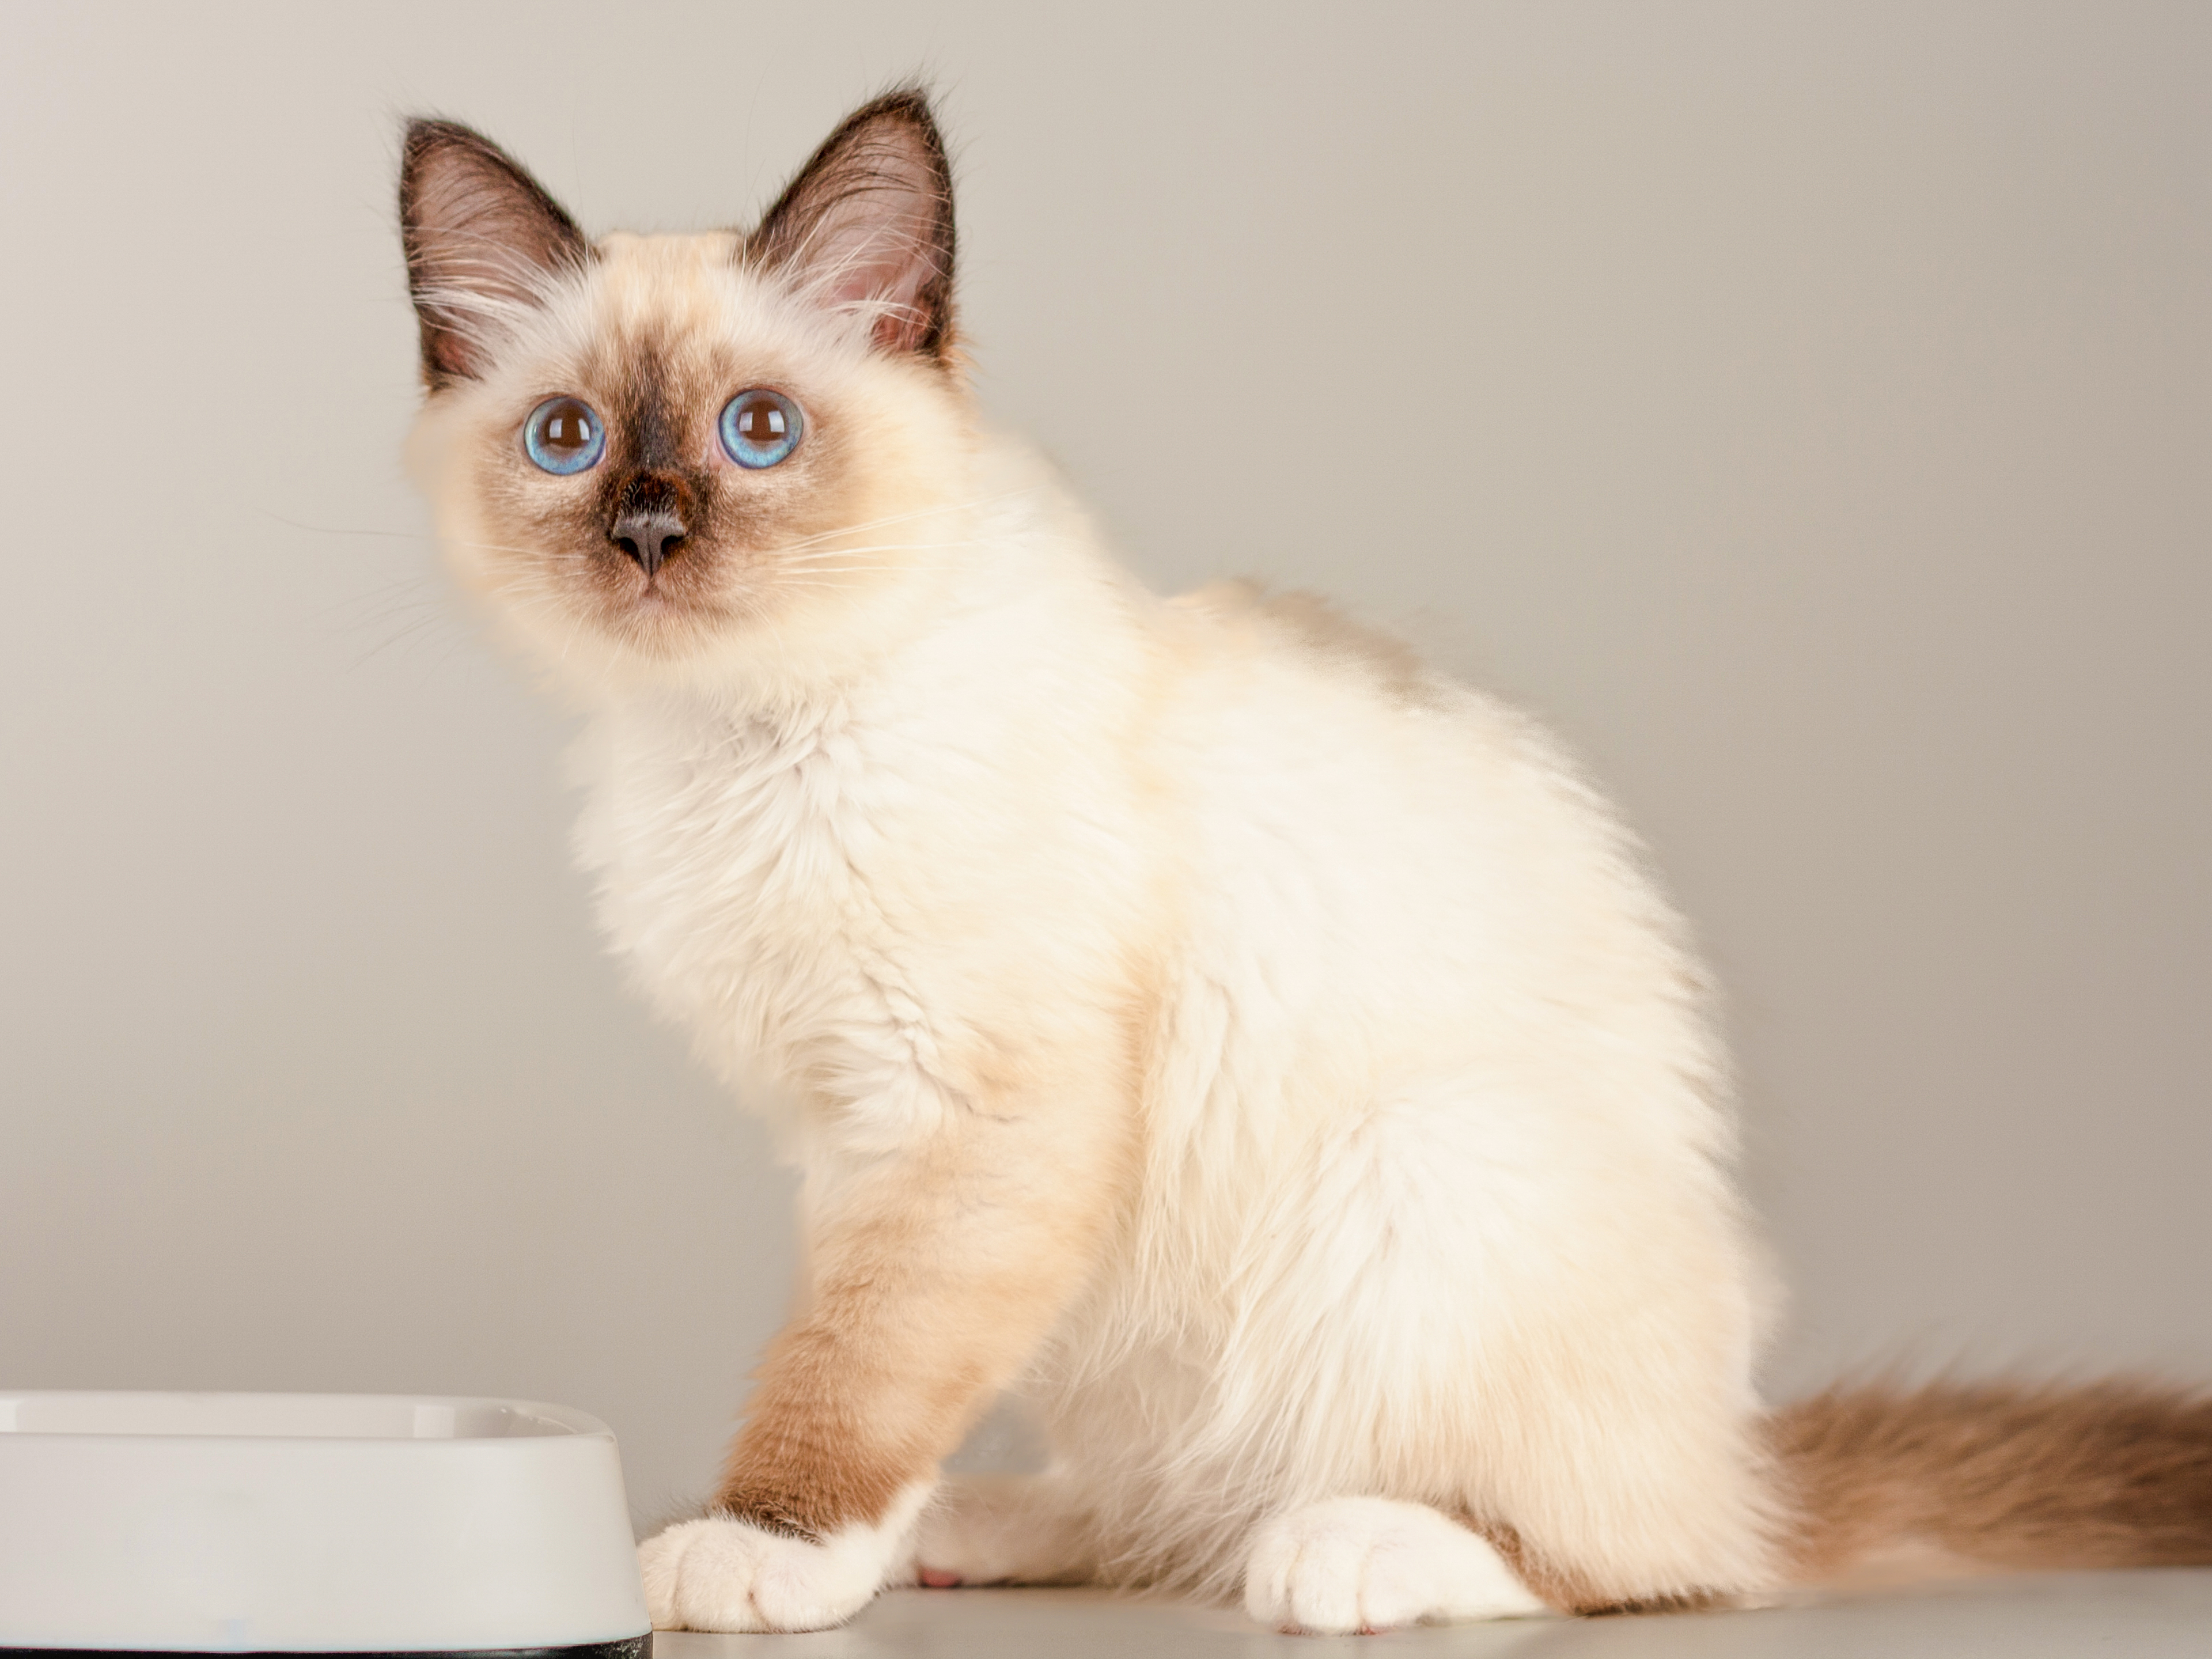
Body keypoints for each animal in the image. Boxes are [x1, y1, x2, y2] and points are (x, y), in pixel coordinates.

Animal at [398, 90, 2212, 1637]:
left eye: (759, 433)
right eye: (566, 442)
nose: (646, 532)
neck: (741, 734)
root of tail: (1747, 1448)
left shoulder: (961, 1114)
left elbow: (853, 1369)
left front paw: (761, 1549)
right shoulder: (849, 1142)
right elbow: (871, 1349)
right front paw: (827, 1540)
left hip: (1418, 1178)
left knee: (1649, 1559)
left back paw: (1350, 1548)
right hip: (1142, 1328)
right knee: (1165, 1502)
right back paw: (996, 1527)